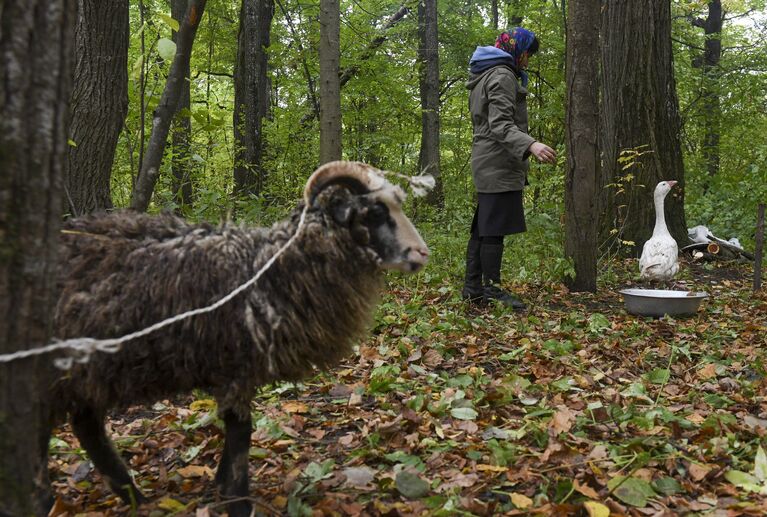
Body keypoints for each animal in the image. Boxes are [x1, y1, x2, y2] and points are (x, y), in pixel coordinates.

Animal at [46, 160, 432, 512]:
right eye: (375, 212)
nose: (422, 253)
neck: (270, 266)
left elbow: (236, 432)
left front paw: (221, 486)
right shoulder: (234, 365)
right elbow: (241, 432)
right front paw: (237, 499)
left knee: (86, 427)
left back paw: (132, 497)